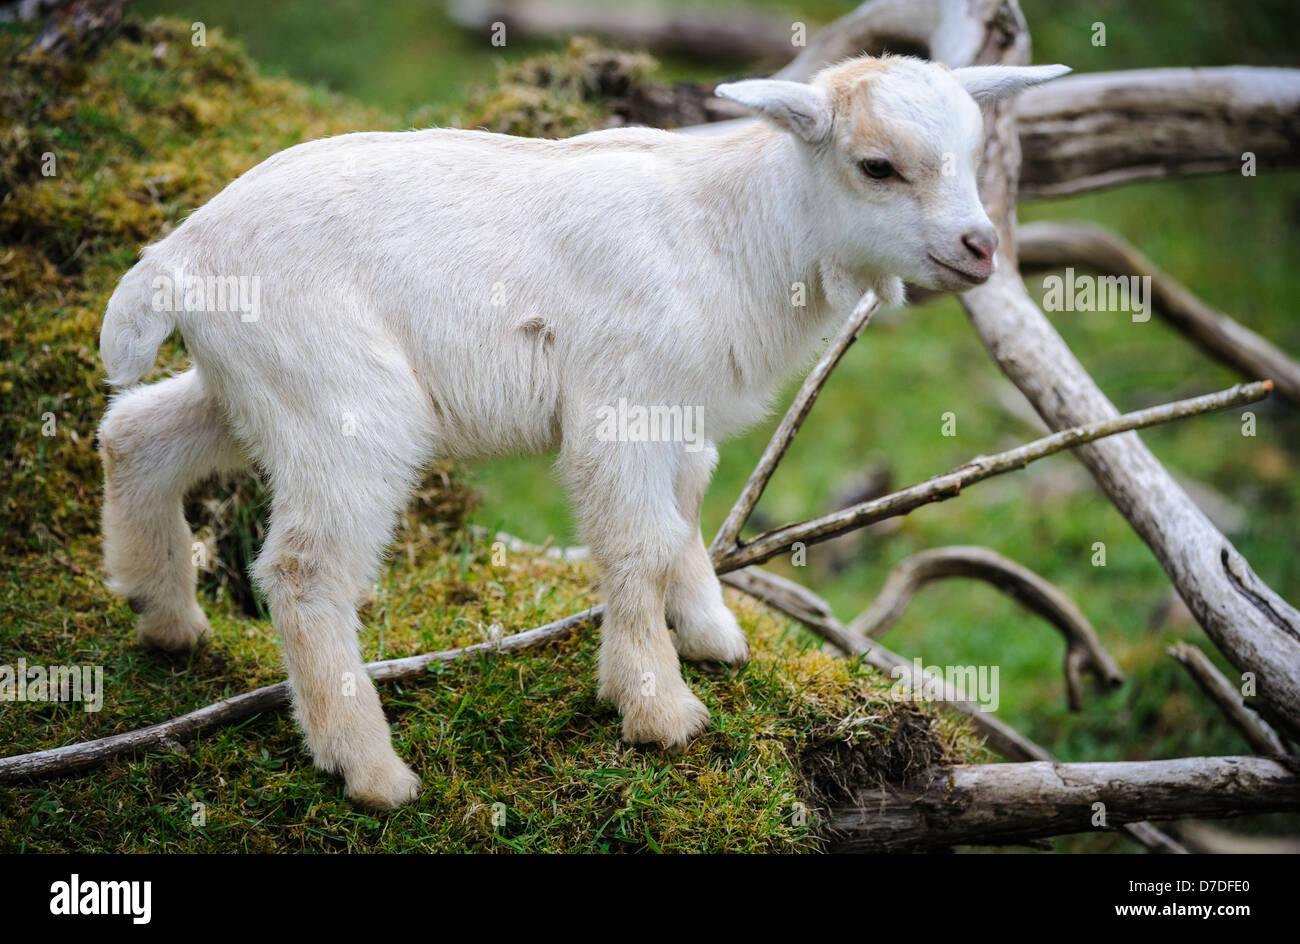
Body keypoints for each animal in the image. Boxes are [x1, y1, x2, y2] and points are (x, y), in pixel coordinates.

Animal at [97, 55, 1069, 807]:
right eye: (876, 166)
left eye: (974, 155)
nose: (980, 248)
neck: (735, 233)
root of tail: (175, 258)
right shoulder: (623, 402)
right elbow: (639, 542)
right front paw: (658, 710)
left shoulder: (678, 409)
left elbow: (682, 513)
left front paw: (709, 634)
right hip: (343, 402)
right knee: (302, 571)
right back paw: (369, 770)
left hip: (255, 388)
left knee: (135, 431)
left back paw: (164, 616)